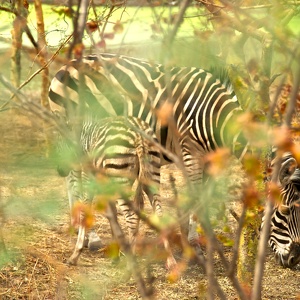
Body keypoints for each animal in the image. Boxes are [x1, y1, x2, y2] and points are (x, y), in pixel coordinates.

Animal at [56, 115, 176, 268]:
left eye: (60, 144)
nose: (60, 170)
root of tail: (139, 135)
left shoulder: (90, 178)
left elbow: (85, 211)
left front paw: (75, 254)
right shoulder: (107, 184)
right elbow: (112, 215)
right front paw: (115, 254)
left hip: (121, 180)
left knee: (132, 217)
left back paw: (131, 262)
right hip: (151, 178)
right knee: (160, 215)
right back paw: (170, 261)